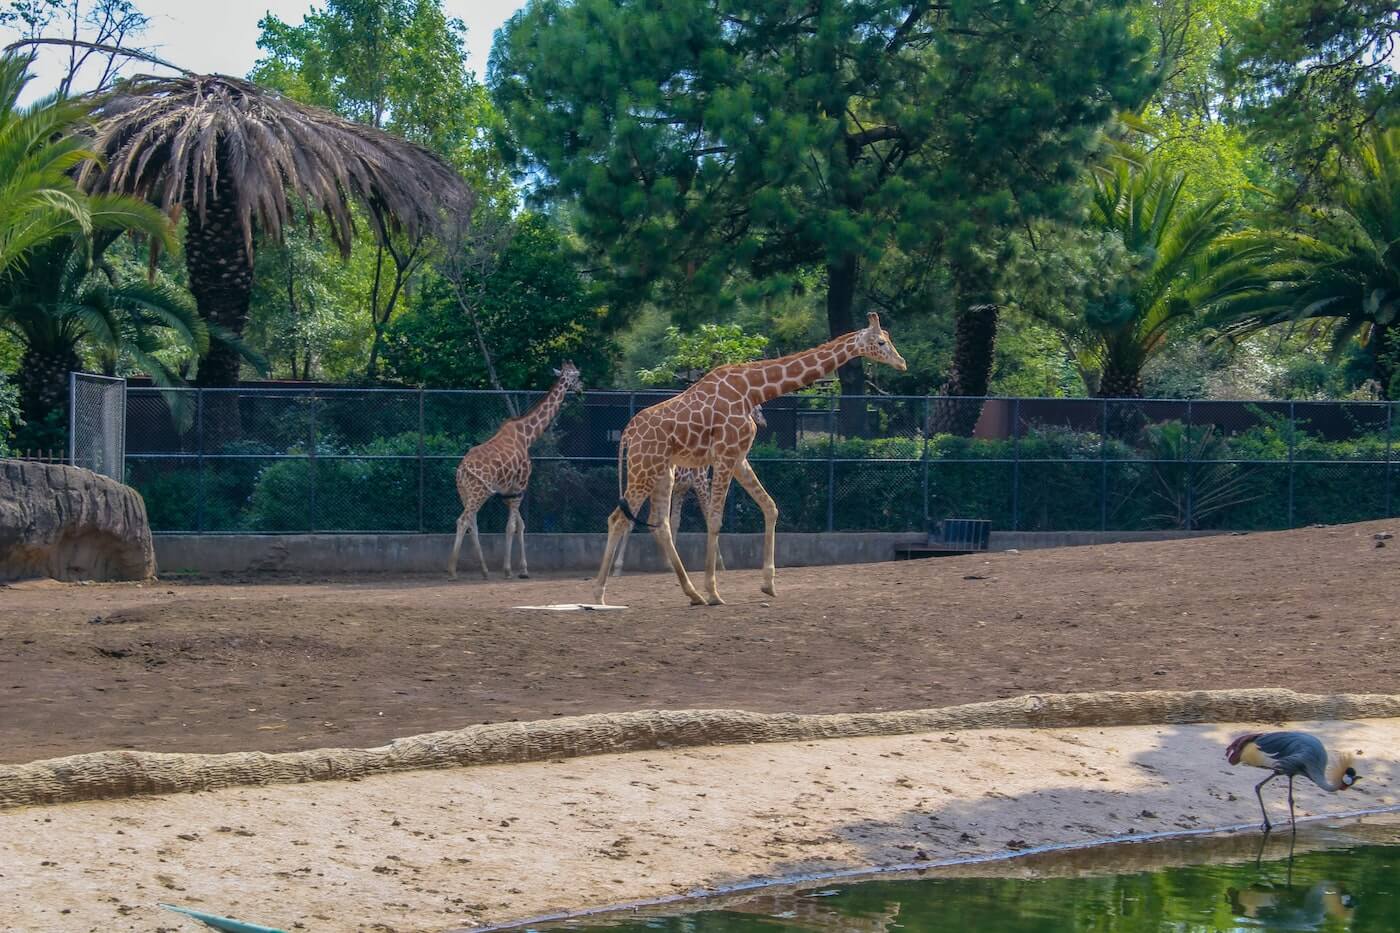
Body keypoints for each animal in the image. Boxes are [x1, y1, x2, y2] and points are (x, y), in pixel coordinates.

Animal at [448, 362, 582, 580]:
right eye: (577, 375)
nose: (581, 388)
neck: (527, 436)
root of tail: (462, 469)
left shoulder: (508, 492)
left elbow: (520, 525)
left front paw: (523, 570)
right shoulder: (520, 487)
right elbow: (511, 526)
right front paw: (509, 570)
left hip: (465, 493)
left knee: (471, 523)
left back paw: (484, 571)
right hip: (479, 492)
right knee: (463, 521)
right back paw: (452, 570)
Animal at [609, 406, 767, 576]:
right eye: (759, 409)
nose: (763, 422)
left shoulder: (681, 489)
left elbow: (675, 521)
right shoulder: (700, 481)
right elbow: (707, 516)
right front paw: (720, 563)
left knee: (648, 520)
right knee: (631, 521)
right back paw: (618, 568)